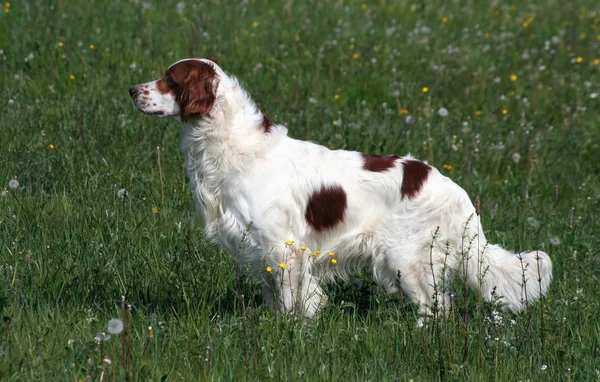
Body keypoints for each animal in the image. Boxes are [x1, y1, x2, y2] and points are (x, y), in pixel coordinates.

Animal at [129, 59, 552, 316]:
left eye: (170, 80)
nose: (133, 90)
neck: (233, 146)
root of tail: (459, 195)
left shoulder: (282, 247)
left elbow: (291, 302)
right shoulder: (260, 250)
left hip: (405, 261)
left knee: (434, 309)